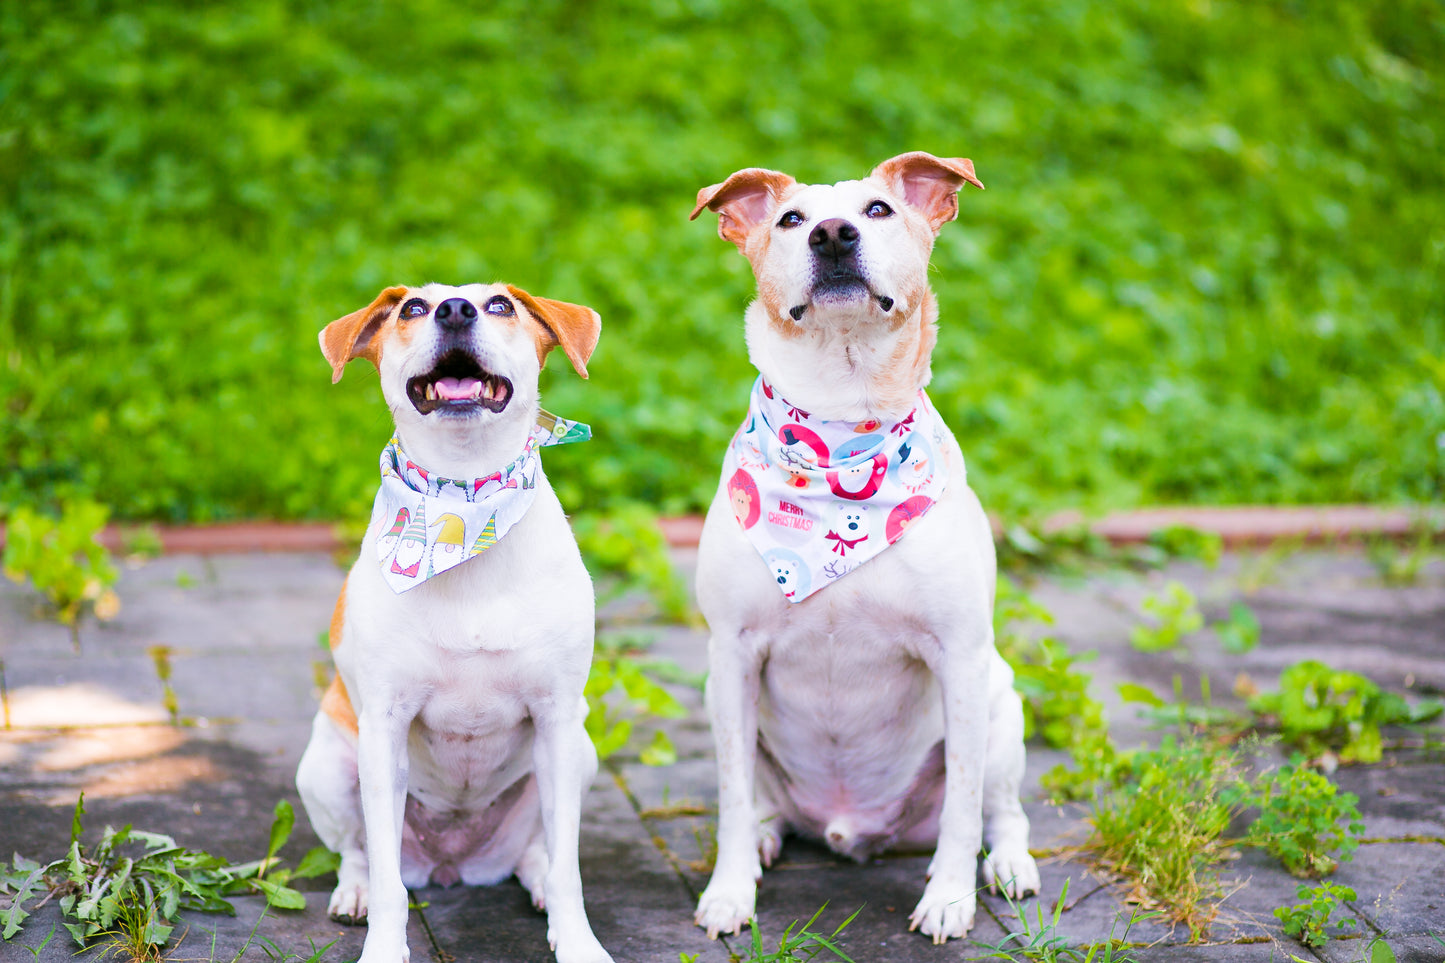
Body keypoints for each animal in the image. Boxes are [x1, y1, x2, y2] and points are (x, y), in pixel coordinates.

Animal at [296, 279, 612, 960]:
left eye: (500, 305)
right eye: (413, 308)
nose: (455, 310)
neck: (466, 501)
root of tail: (452, 865)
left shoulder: (556, 718)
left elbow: (571, 870)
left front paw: (578, 942)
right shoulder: (384, 727)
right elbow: (386, 879)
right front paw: (383, 948)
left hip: (579, 754)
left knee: (538, 849)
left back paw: (537, 878)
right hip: (328, 767)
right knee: (359, 853)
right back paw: (355, 892)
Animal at [687, 153, 1040, 942]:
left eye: (878, 210)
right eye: (791, 220)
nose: (832, 234)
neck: (841, 423)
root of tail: (856, 828)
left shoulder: (961, 656)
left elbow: (964, 805)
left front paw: (949, 899)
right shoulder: (731, 653)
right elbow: (728, 793)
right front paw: (730, 892)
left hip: (1001, 700)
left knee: (1001, 809)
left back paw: (1009, 865)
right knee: (760, 799)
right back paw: (766, 835)